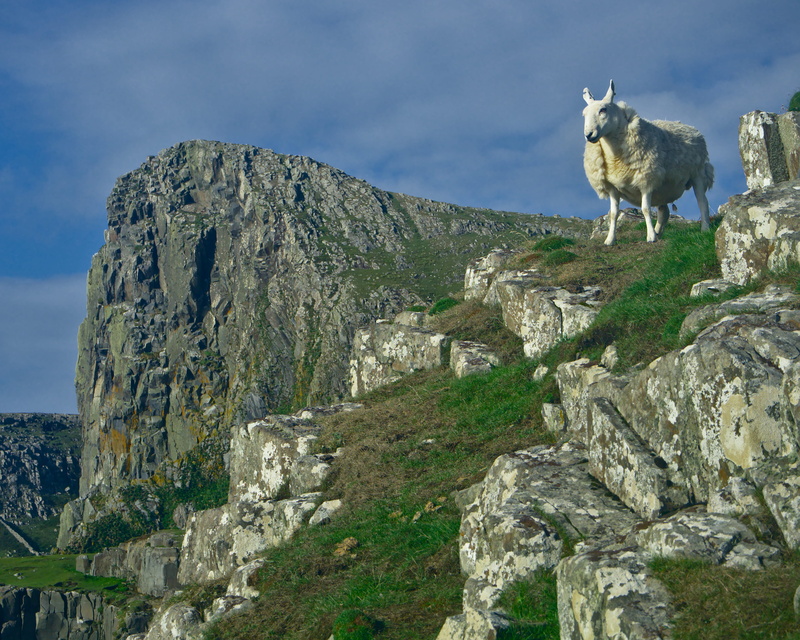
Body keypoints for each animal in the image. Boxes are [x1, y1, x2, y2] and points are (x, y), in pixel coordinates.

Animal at [582, 80, 714, 245]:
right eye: (584, 114)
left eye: (603, 110)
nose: (589, 135)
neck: (615, 157)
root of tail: (691, 128)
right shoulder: (612, 187)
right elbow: (613, 214)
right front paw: (610, 240)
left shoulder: (646, 180)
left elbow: (645, 209)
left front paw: (650, 236)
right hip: (664, 188)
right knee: (664, 211)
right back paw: (659, 232)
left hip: (698, 174)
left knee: (702, 202)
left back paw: (704, 229)